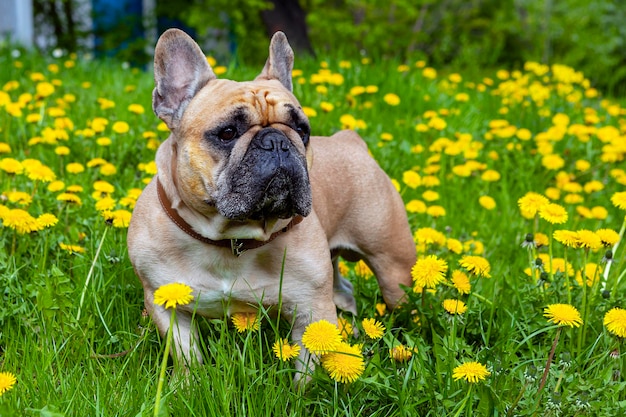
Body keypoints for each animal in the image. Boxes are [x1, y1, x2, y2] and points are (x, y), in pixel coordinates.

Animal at [126, 28, 414, 380]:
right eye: (227, 133)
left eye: (302, 130)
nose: (277, 141)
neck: (231, 238)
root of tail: (351, 140)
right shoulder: (167, 305)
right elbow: (187, 356)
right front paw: (188, 385)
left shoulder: (312, 310)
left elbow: (307, 368)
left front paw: (303, 391)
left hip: (393, 265)